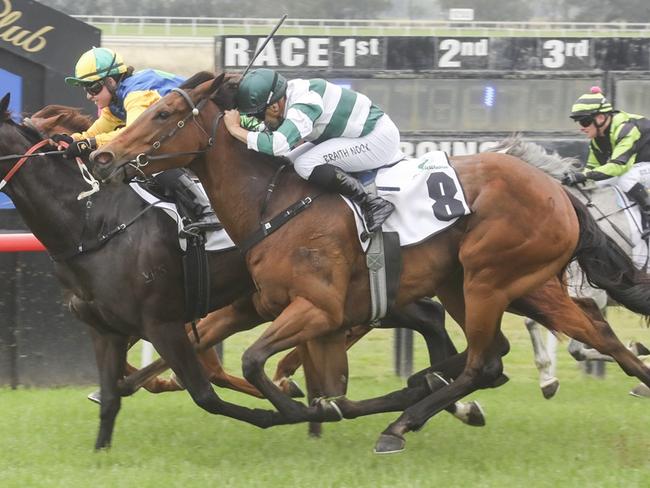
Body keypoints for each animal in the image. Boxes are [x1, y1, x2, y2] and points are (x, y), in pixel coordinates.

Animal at [0, 96, 476, 450]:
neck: (91, 224)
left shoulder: (163, 321)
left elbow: (204, 390)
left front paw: (281, 408)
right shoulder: (108, 328)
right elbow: (115, 396)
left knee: (423, 320)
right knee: (429, 319)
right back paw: (445, 398)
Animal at [90, 73, 648, 454]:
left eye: (163, 115)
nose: (103, 156)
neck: (273, 201)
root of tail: (556, 188)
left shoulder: (319, 309)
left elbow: (255, 361)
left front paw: (294, 408)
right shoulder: (277, 308)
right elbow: (225, 350)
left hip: (490, 280)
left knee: (483, 362)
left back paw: (399, 425)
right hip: (500, 284)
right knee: (585, 333)